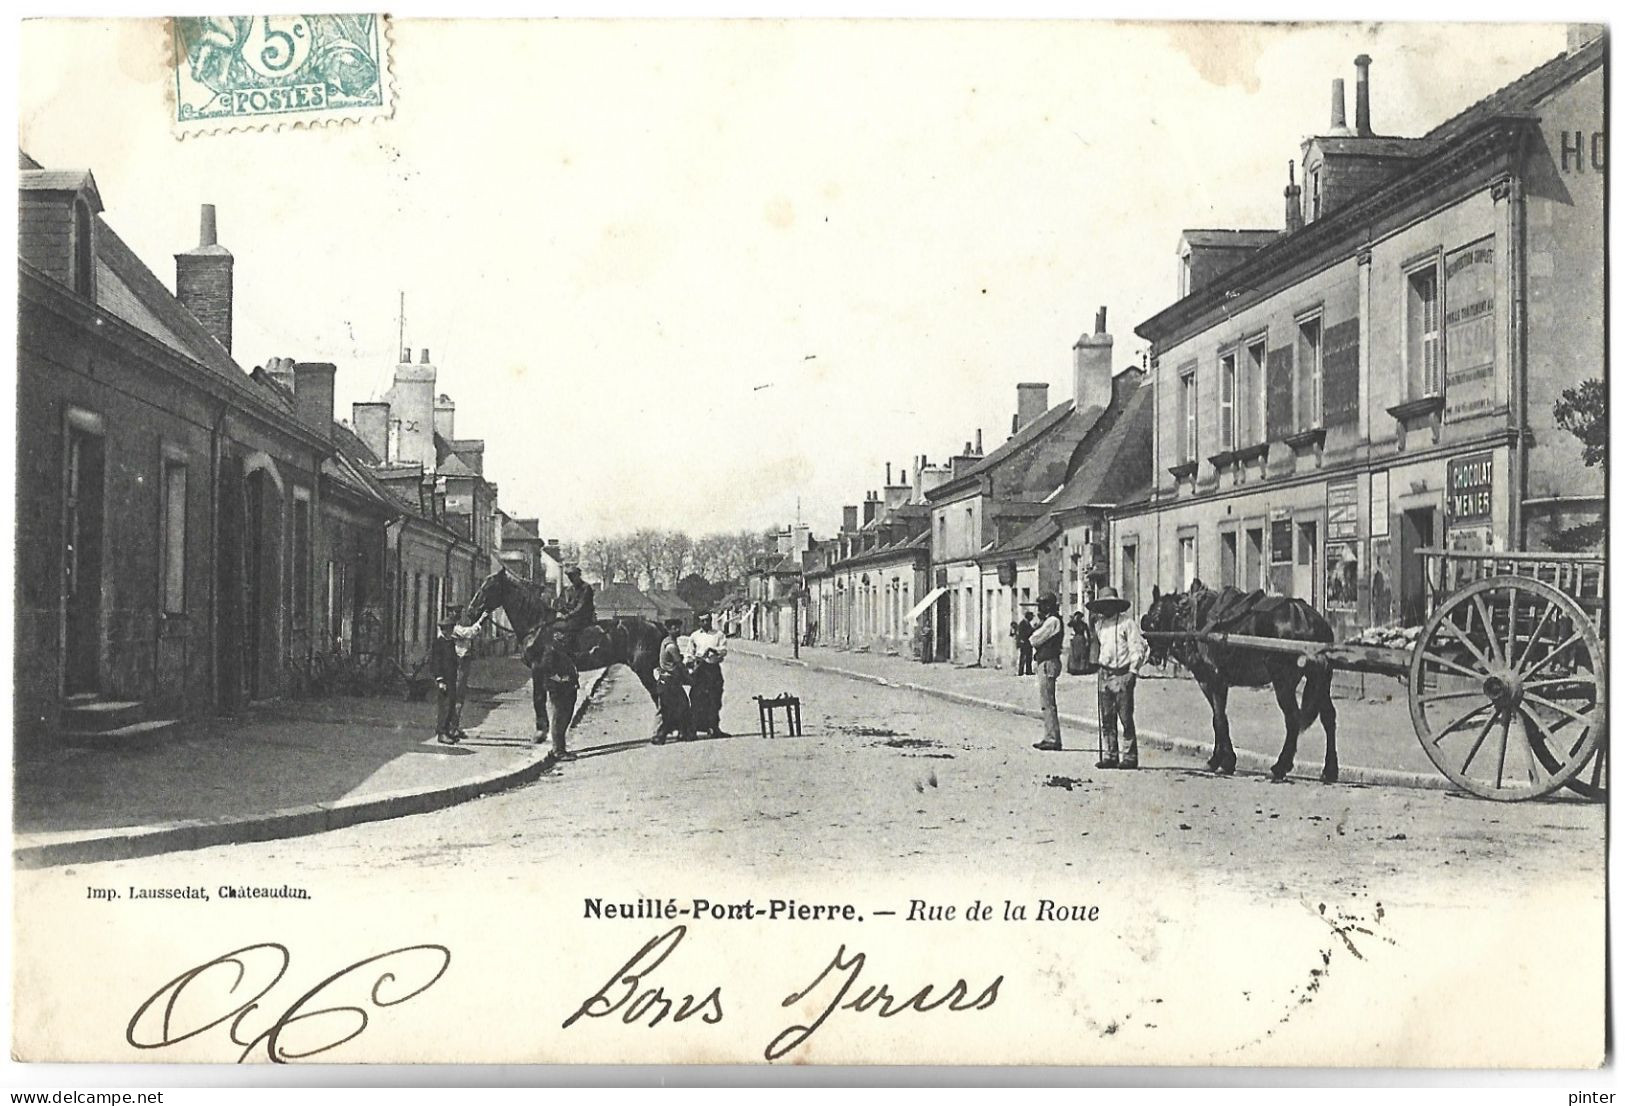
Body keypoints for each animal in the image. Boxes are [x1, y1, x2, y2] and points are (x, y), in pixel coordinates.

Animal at [458, 568, 666, 734]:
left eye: (488, 587)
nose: (471, 611)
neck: (536, 626)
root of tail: (655, 625)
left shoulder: (538, 668)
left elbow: (538, 698)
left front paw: (541, 731)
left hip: (643, 669)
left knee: (658, 695)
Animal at [1137, 581, 1339, 779]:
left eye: (1154, 621)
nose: (1153, 658)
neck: (1192, 618)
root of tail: (1307, 619)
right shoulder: (1213, 682)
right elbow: (1219, 717)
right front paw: (1224, 760)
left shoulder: (1212, 680)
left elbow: (1218, 719)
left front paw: (1221, 760)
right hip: (1320, 679)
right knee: (1328, 717)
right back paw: (1330, 770)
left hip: (1283, 681)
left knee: (1293, 719)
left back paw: (1281, 766)